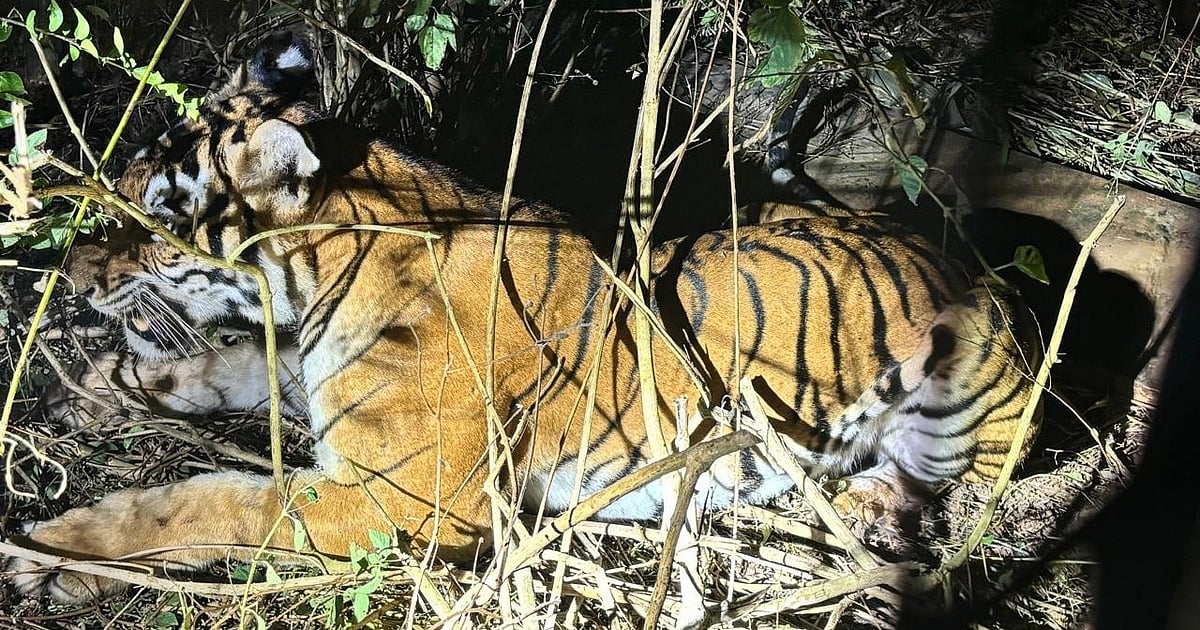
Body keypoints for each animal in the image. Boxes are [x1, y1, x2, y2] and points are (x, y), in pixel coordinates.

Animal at [8, 32, 1040, 603]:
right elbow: (234, 364)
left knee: (970, 474)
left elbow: (213, 503)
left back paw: (869, 503)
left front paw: (54, 555)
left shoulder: (396, 502)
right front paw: (107, 384)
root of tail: (941, 244)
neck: (321, 283)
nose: (71, 269)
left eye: (156, 215)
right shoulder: (311, 376)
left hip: (963, 404)